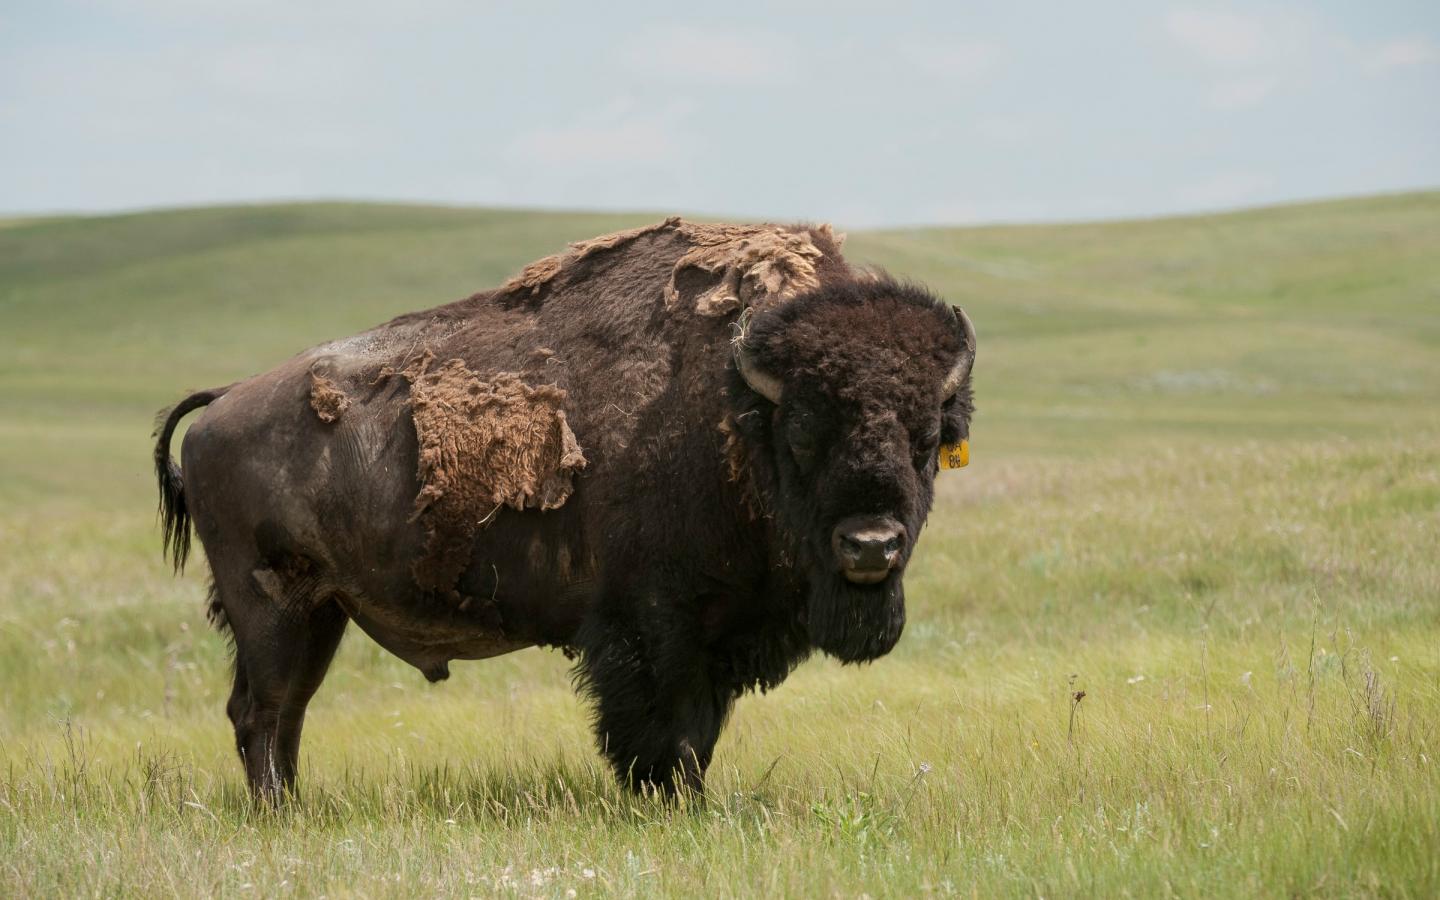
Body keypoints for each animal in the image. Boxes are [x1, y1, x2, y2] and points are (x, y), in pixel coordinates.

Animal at [151, 218, 973, 800]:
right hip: (273, 607)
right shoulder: (655, 627)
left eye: (928, 437)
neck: (737, 409)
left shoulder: (715, 639)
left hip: (321, 612)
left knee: (283, 712)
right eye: (802, 433)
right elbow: (666, 733)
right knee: (263, 711)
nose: (871, 546)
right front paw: (668, 803)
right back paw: (278, 812)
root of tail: (221, 404)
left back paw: (293, 808)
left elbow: (698, 736)